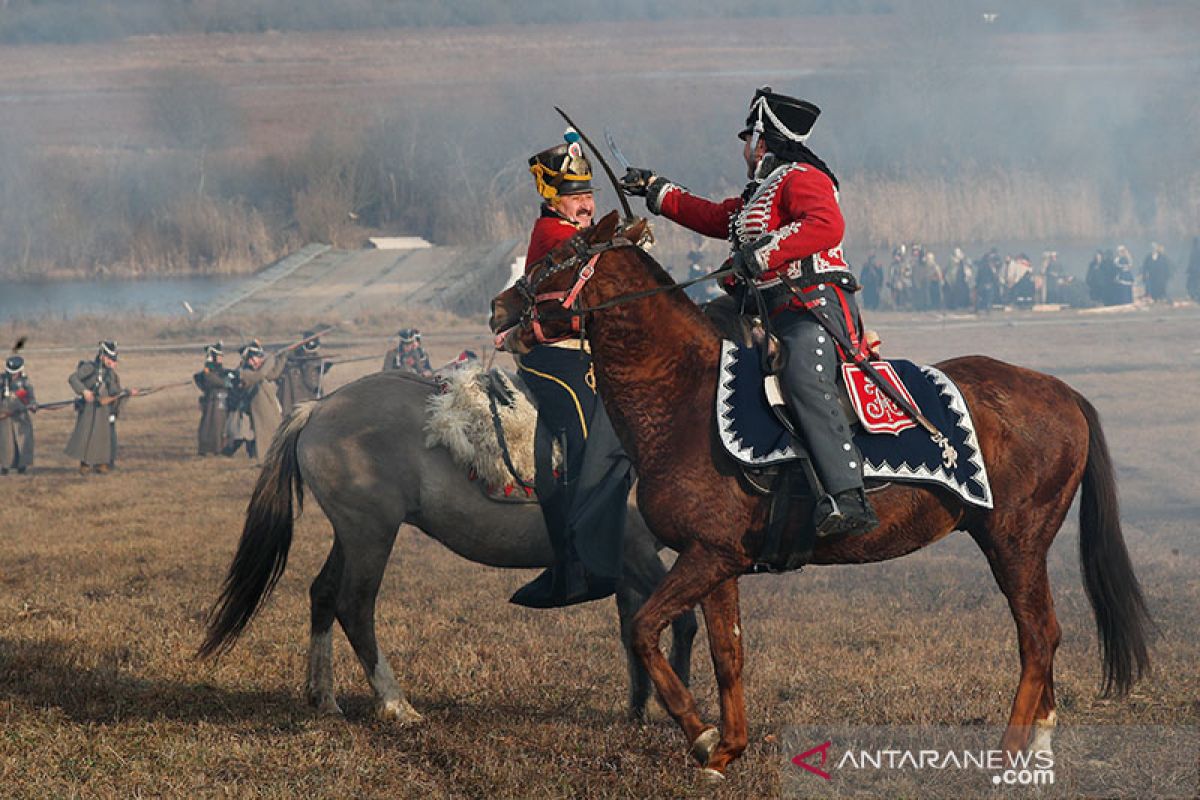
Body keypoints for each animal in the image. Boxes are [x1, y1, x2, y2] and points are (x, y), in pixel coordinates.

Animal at [201, 371, 700, 724]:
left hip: (352, 534)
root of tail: (319, 408)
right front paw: (679, 708)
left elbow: (633, 629)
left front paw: (639, 709)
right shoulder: (639, 552)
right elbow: (680, 623)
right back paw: (395, 703)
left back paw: (324, 696)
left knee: (322, 594)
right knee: (355, 605)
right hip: (371, 534)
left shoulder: (628, 561)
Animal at [489, 214, 1152, 782]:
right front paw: (725, 749)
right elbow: (728, 653)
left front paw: (700, 735)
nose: (499, 306)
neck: (685, 398)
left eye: (555, 258)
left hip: (1014, 543)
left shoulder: (704, 558)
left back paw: (1007, 753)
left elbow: (644, 629)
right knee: (1043, 635)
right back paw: (1037, 746)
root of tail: (1061, 391)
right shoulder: (719, 562)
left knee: (1037, 637)